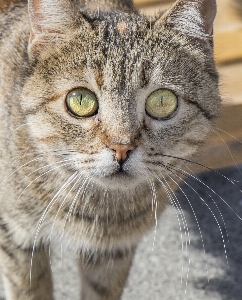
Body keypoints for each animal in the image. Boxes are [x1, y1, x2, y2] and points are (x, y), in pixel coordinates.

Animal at [0, 0, 221, 298]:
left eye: (162, 101)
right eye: (80, 100)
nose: (121, 148)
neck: (99, 211)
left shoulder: (112, 252)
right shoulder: (16, 235)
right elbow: (31, 289)